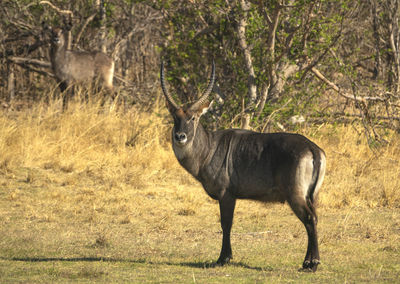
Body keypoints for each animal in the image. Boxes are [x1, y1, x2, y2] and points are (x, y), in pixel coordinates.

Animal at [161, 61, 326, 272]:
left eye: (193, 118)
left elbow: (226, 224)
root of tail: (312, 149)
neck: (208, 149)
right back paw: (308, 262)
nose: (180, 136)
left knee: (309, 219)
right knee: (314, 218)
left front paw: (223, 259)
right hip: (312, 196)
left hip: (296, 195)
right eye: (175, 118)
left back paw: (312, 264)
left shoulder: (226, 194)